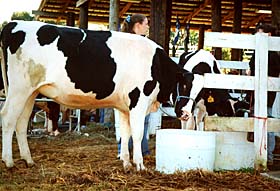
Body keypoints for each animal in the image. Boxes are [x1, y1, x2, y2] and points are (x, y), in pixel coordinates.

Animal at [0, 20, 203, 170]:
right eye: (185, 85)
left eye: (200, 92)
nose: (186, 114)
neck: (156, 64)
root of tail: (13, 24)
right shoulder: (138, 101)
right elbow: (137, 134)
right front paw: (139, 165)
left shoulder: (124, 106)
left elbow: (125, 133)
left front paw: (126, 163)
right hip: (19, 88)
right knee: (8, 118)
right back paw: (9, 161)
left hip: (31, 92)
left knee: (21, 121)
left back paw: (28, 160)